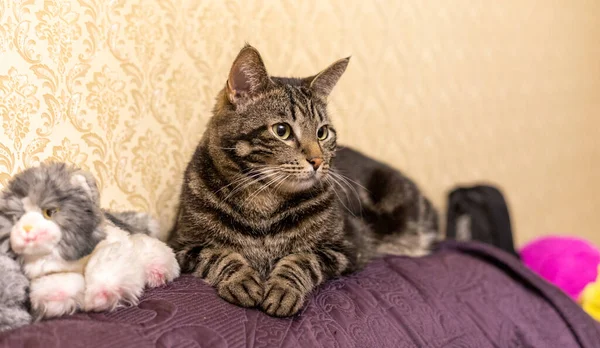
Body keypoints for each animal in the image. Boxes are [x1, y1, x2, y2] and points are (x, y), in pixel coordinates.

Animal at [169, 44, 436, 316]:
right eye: (282, 131)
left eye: (323, 132)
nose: (317, 161)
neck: (263, 202)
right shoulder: (181, 245)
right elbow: (218, 255)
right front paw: (241, 279)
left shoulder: (348, 247)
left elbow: (302, 260)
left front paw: (282, 289)